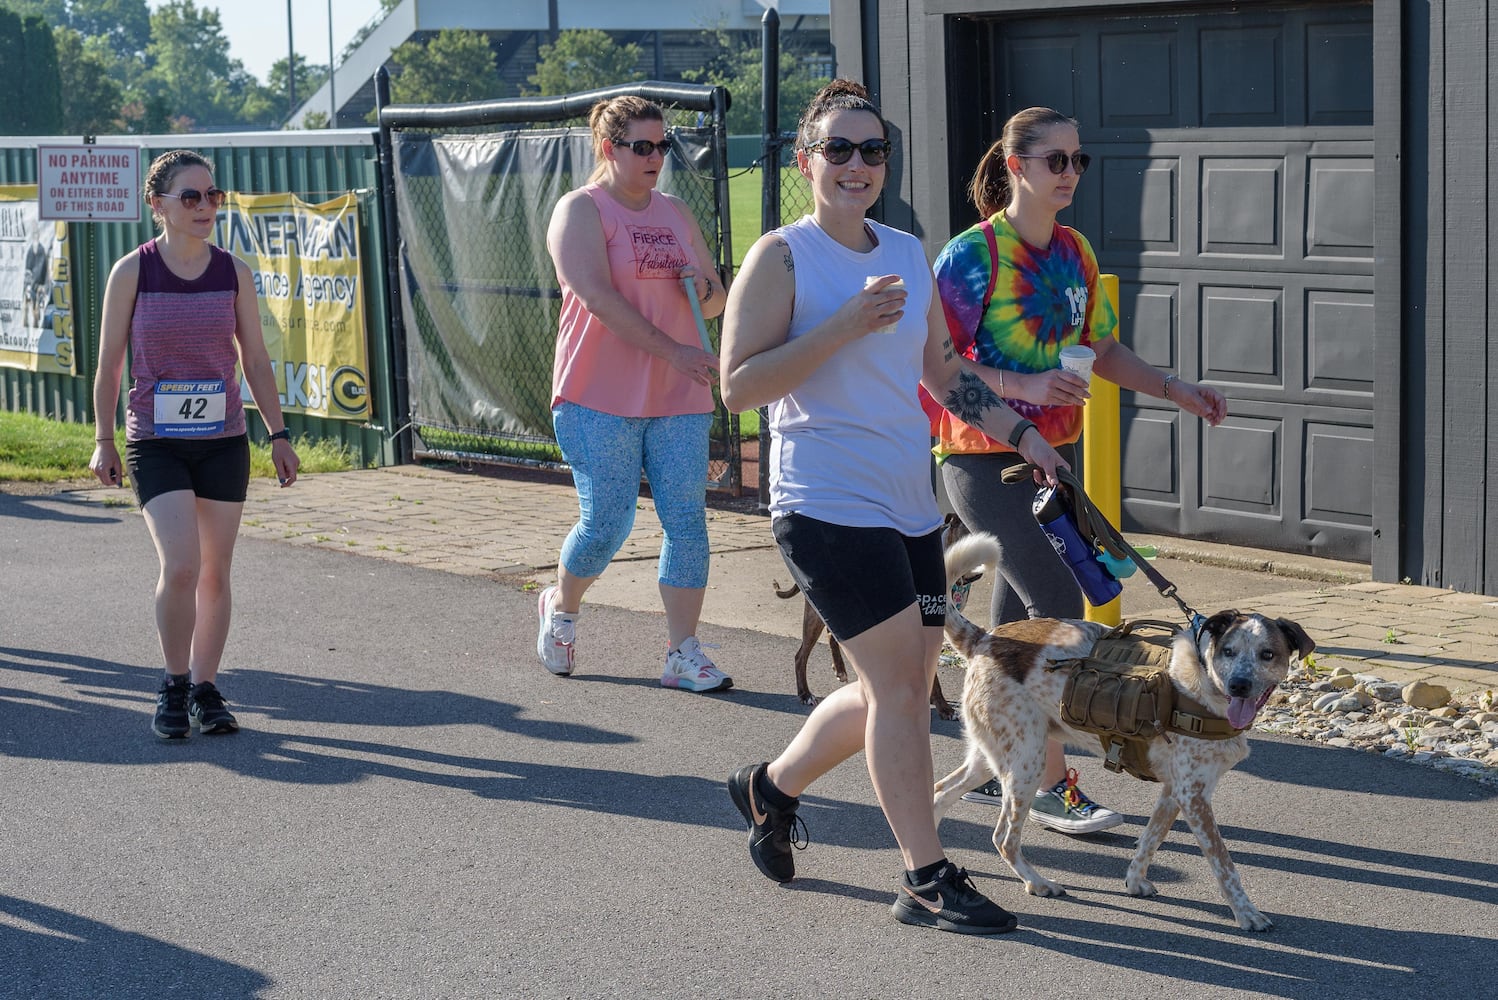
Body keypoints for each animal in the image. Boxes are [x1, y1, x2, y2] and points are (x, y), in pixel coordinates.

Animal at [772, 514, 970, 718]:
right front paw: (943, 707)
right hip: (818, 613)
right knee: (801, 655)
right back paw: (805, 693)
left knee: (832, 634)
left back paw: (840, 669)